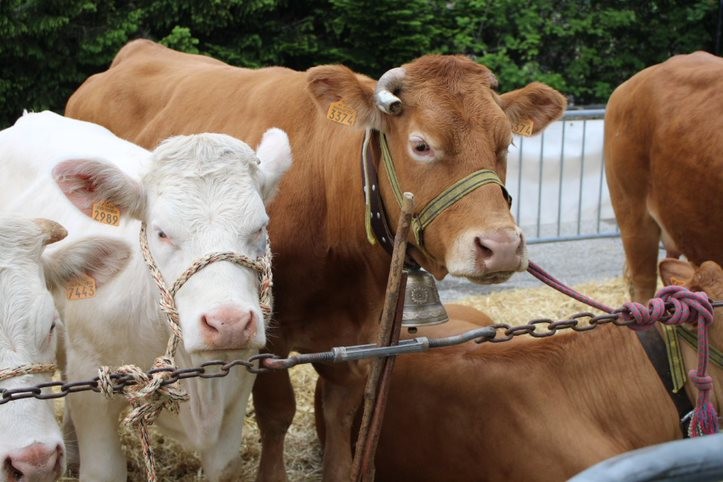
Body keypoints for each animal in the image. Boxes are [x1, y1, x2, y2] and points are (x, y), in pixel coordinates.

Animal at [65, 41, 568, 482]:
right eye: (422, 145)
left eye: (506, 145)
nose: (501, 245)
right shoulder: (267, 331)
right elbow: (276, 412)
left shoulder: (361, 338)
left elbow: (341, 413)